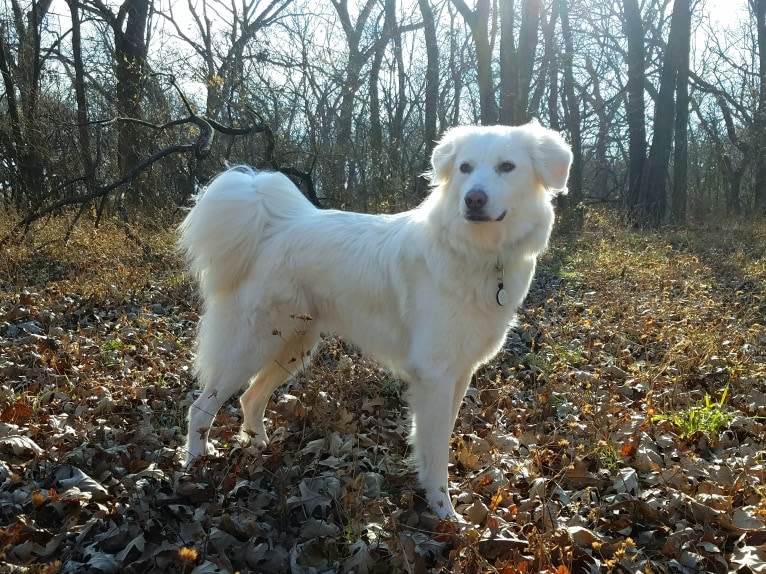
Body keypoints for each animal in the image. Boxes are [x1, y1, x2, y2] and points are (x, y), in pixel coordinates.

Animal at [182, 122, 568, 520]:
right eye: (465, 168)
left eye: (507, 167)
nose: (473, 199)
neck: (477, 252)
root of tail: (273, 226)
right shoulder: (434, 376)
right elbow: (435, 451)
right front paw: (445, 513)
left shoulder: (458, 373)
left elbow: (438, 442)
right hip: (251, 346)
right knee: (201, 407)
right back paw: (195, 465)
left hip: (292, 346)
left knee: (250, 398)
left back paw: (258, 445)